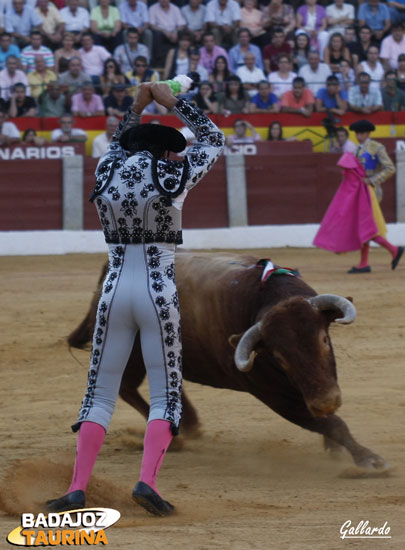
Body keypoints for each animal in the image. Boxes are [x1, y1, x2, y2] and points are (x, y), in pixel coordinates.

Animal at [68, 252, 386, 472]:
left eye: (324, 340)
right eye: (279, 358)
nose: (325, 401)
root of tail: (109, 273)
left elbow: (329, 421)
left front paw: (334, 448)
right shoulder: (275, 396)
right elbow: (331, 424)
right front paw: (369, 459)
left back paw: (190, 424)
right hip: (129, 353)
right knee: (127, 388)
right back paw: (177, 435)